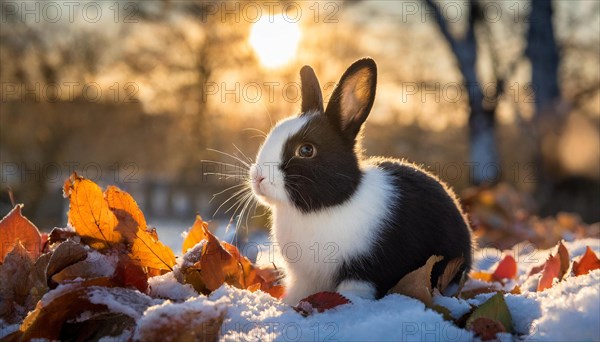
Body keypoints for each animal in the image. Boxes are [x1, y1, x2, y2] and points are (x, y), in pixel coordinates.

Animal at [248, 57, 474, 304]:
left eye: (306, 150)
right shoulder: (304, 279)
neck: (322, 208)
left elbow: (353, 291)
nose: (258, 177)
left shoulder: (364, 273)